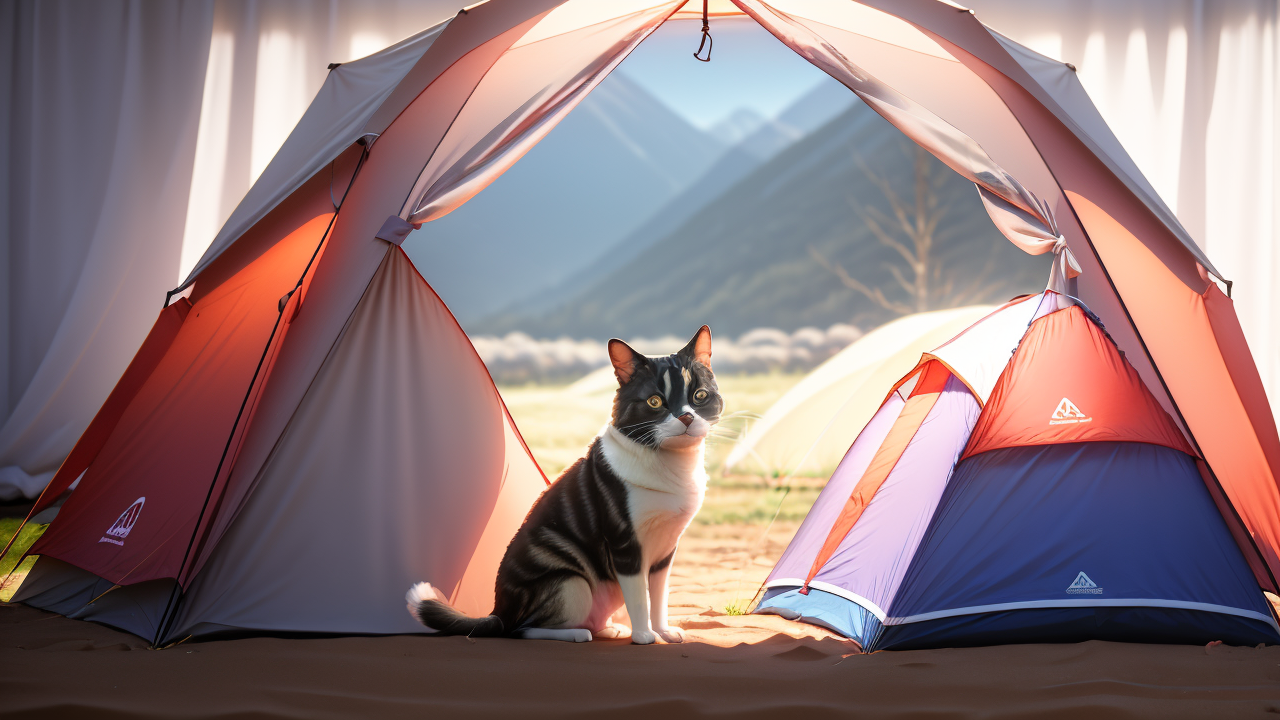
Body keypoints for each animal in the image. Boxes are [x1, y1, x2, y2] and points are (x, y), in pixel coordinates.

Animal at [407, 324, 721, 638]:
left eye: (700, 396)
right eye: (655, 401)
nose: (686, 417)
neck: (670, 462)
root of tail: (499, 611)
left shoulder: (665, 551)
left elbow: (659, 596)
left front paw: (663, 632)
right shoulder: (624, 543)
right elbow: (639, 599)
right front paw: (644, 636)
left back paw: (608, 629)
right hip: (570, 583)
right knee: (524, 629)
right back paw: (576, 634)